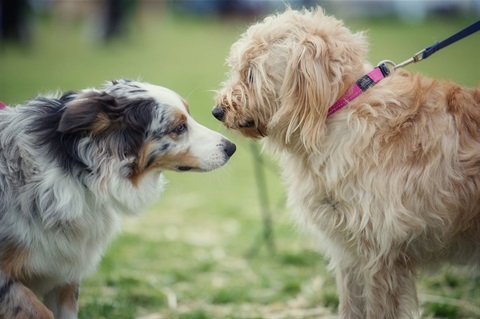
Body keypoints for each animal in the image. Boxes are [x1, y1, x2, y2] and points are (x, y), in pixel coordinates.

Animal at [214, 7, 480, 319]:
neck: (339, 108)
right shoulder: (349, 251)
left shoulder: (381, 255)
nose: (217, 111)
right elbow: (351, 305)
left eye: (251, 73)